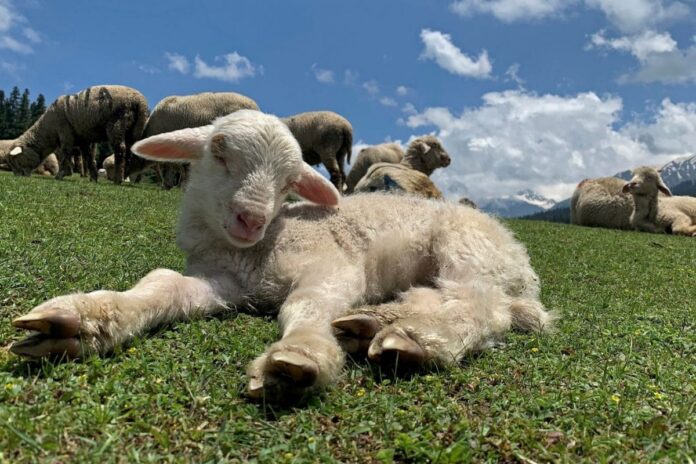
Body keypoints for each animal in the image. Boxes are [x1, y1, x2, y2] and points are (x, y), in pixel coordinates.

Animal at [6, 85, 148, 184]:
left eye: (16, 160)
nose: (18, 176)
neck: (48, 130)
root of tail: (140, 101)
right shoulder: (83, 140)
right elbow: (88, 157)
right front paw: (93, 178)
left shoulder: (65, 134)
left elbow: (65, 154)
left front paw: (61, 174)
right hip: (134, 129)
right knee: (130, 152)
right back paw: (125, 176)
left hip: (117, 124)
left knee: (120, 150)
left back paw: (118, 179)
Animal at [10, 110, 554, 403]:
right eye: (219, 151)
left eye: (290, 178)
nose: (250, 217)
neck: (259, 250)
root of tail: (523, 269)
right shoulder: (219, 280)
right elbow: (161, 285)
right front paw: (84, 319)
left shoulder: (333, 265)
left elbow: (306, 306)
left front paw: (300, 355)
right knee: (435, 296)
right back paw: (373, 323)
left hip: (466, 249)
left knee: (483, 308)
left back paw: (417, 337)